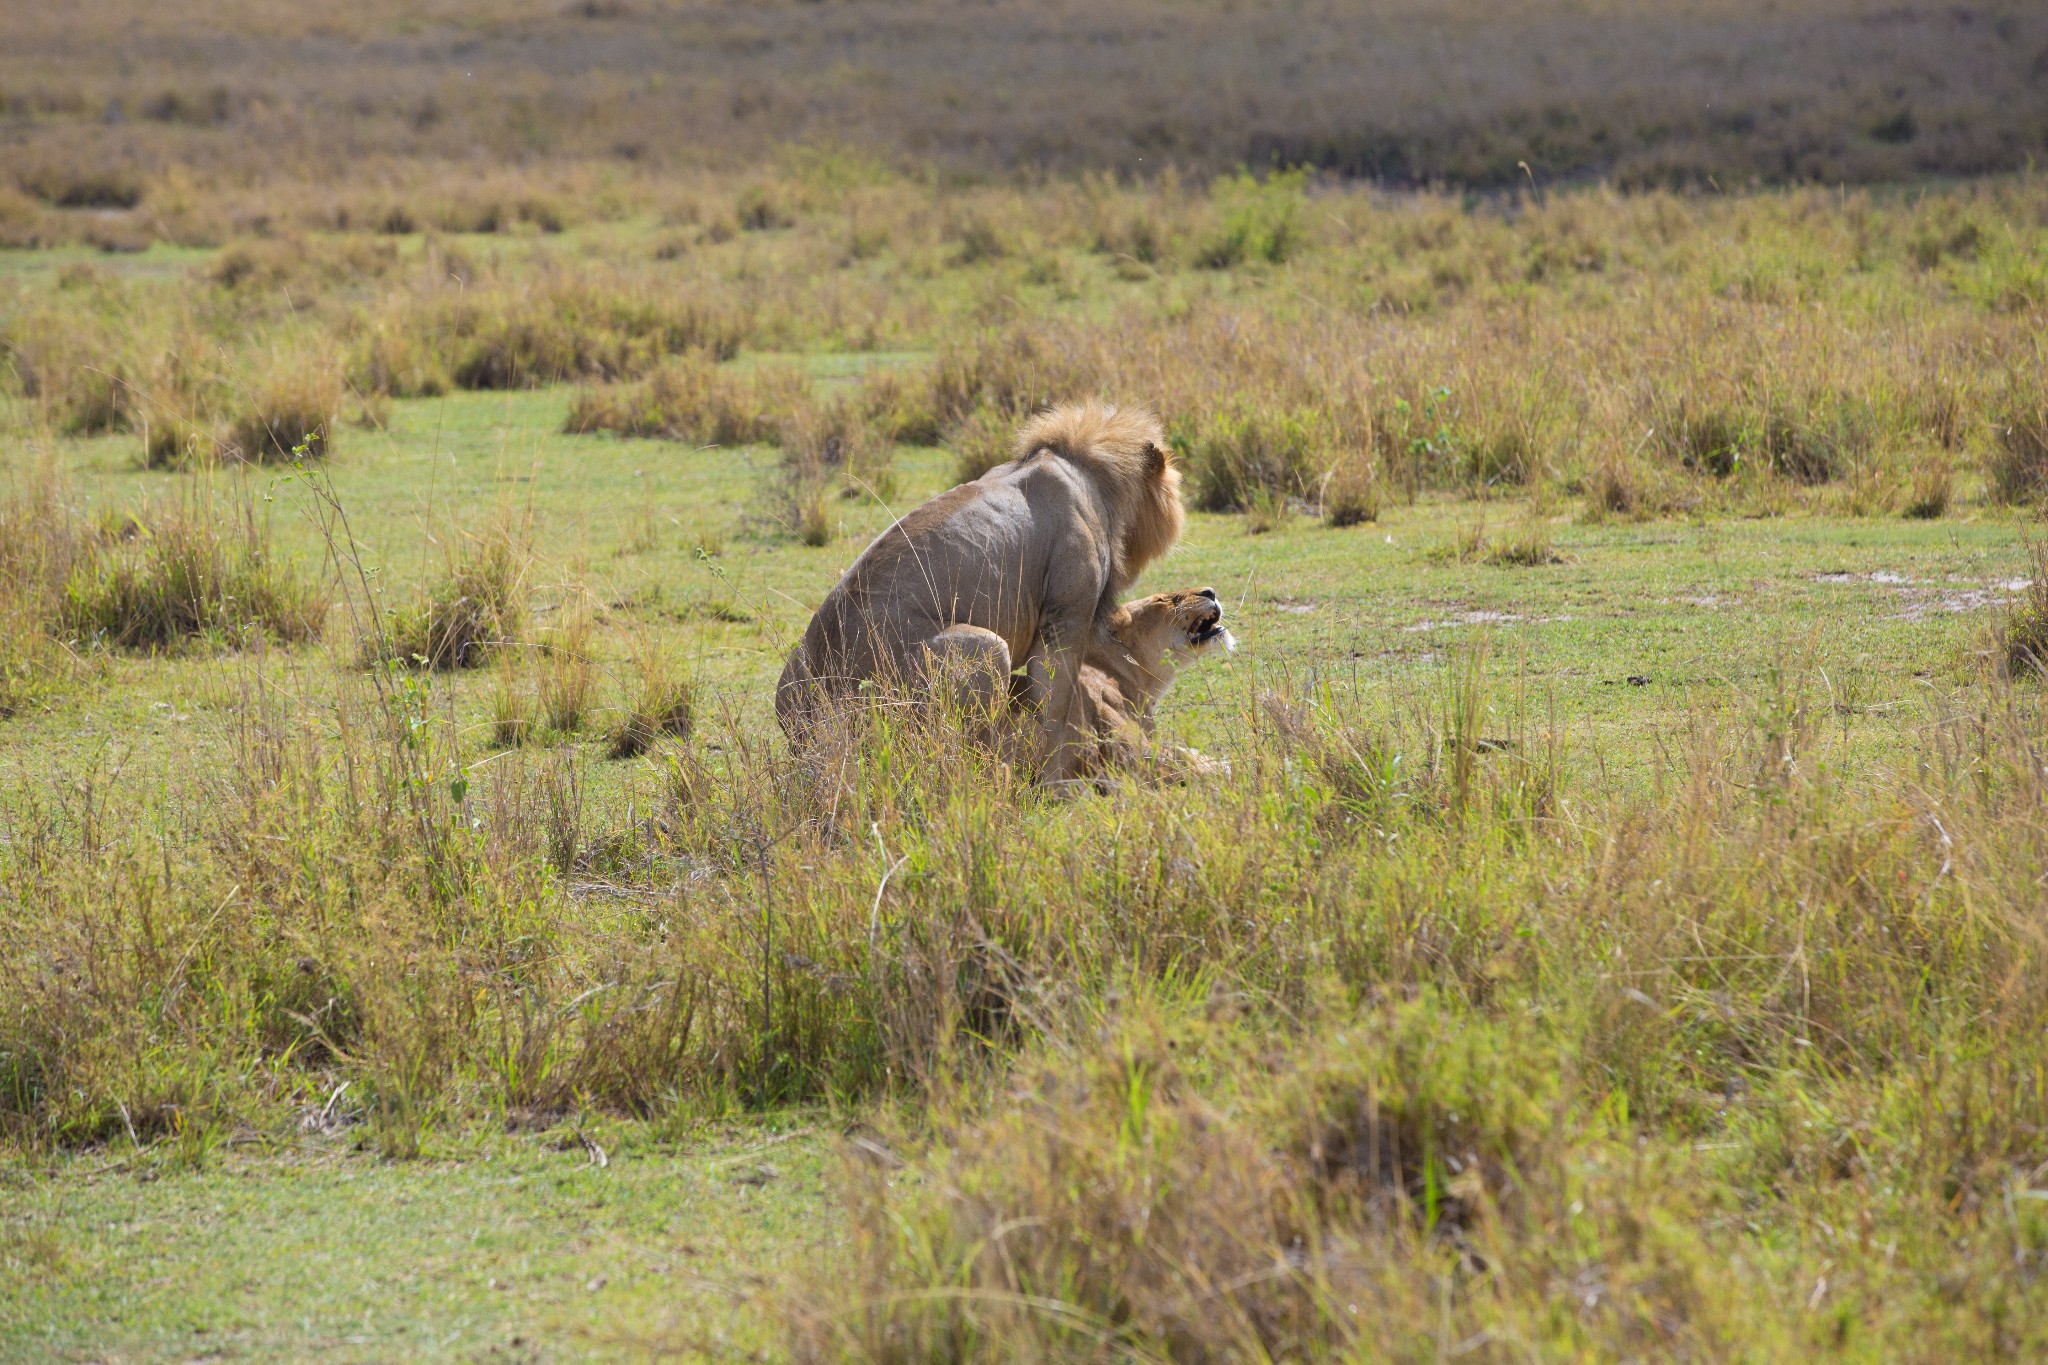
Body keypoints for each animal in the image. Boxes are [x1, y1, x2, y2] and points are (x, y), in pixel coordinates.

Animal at [770, 403, 1187, 777]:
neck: (1088, 473)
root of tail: (815, 716)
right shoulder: (1066, 617)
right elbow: (1057, 707)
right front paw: (1061, 779)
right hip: (985, 650)